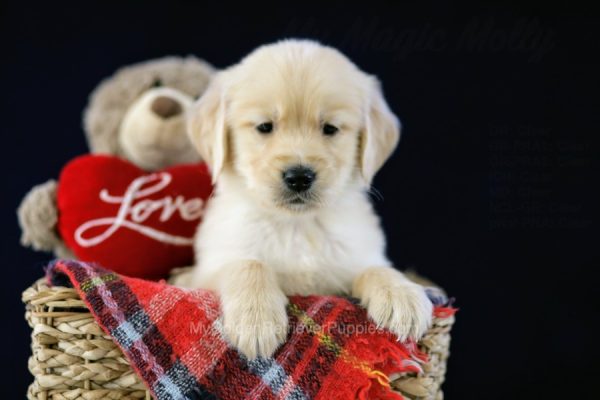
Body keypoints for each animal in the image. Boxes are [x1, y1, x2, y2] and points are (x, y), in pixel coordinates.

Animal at [185, 40, 434, 360]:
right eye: (265, 127)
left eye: (330, 128)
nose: (299, 177)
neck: (297, 226)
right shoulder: (200, 273)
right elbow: (248, 264)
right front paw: (256, 319)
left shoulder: (351, 262)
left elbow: (375, 268)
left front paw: (401, 294)